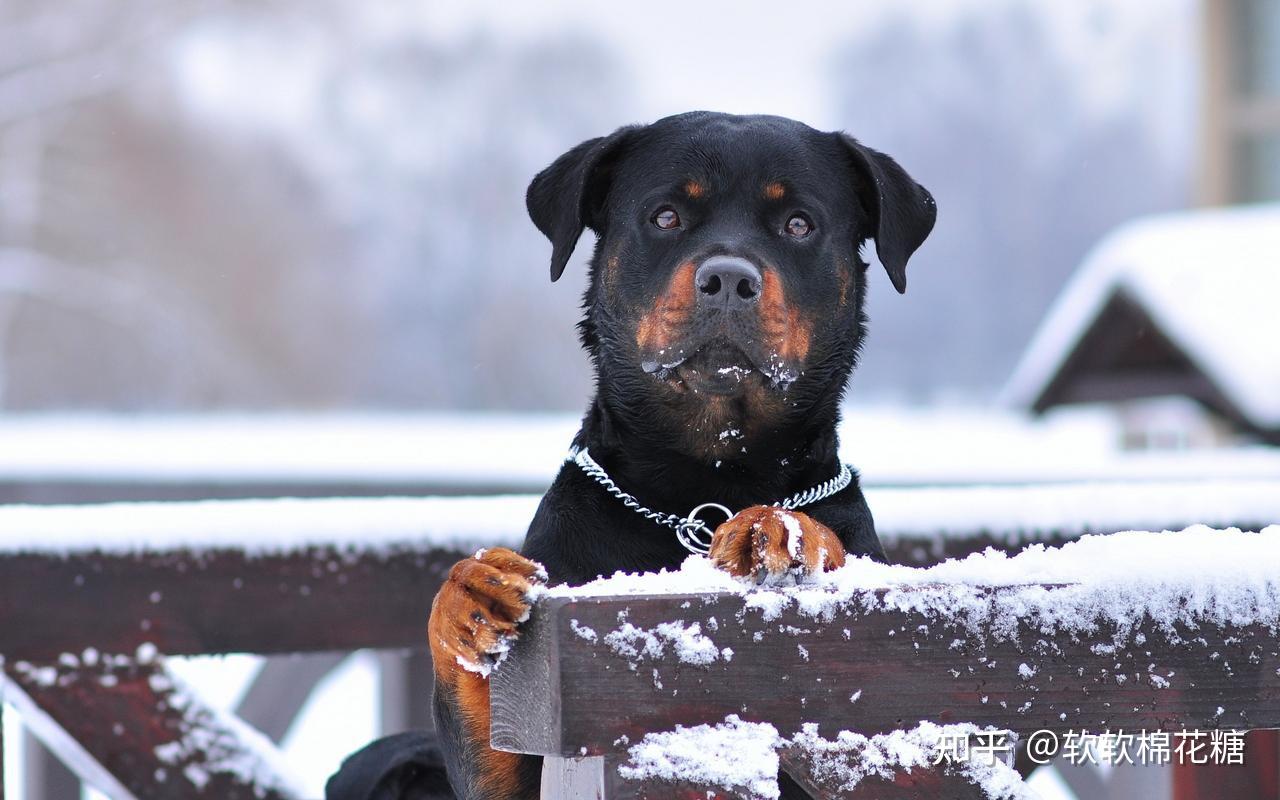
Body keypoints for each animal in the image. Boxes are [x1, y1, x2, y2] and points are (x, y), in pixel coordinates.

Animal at [325, 110, 936, 798]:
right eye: (665, 216)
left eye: (799, 224)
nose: (729, 279)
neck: (702, 484)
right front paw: (470, 597)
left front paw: (779, 529)